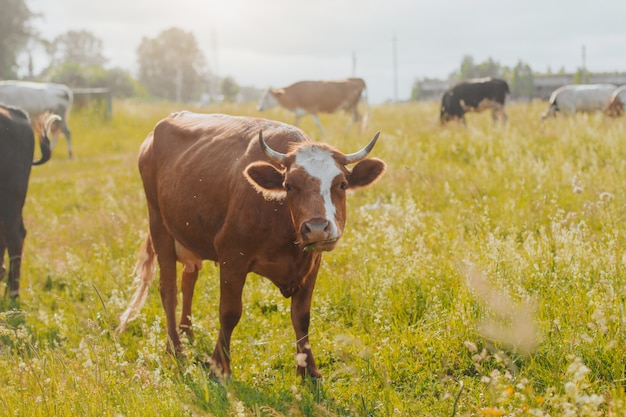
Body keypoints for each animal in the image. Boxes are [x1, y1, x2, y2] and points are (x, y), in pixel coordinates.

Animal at [114, 112, 382, 378]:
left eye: (342, 184)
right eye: (288, 185)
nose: (316, 228)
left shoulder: (311, 263)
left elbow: (301, 316)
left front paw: (309, 371)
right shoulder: (232, 258)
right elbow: (229, 313)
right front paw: (219, 366)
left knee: (188, 281)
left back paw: (187, 333)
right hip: (159, 226)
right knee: (168, 290)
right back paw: (176, 348)